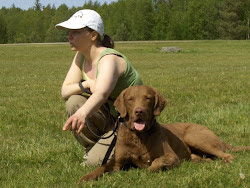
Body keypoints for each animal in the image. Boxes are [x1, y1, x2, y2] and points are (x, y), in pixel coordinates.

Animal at [78, 85, 250, 182]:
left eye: (147, 98)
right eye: (130, 99)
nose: (139, 111)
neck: (139, 136)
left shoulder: (171, 156)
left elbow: (156, 162)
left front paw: (147, 170)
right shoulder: (117, 163)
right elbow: (101, 168)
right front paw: (86, 177)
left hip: (195, 137)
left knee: (227, 155)